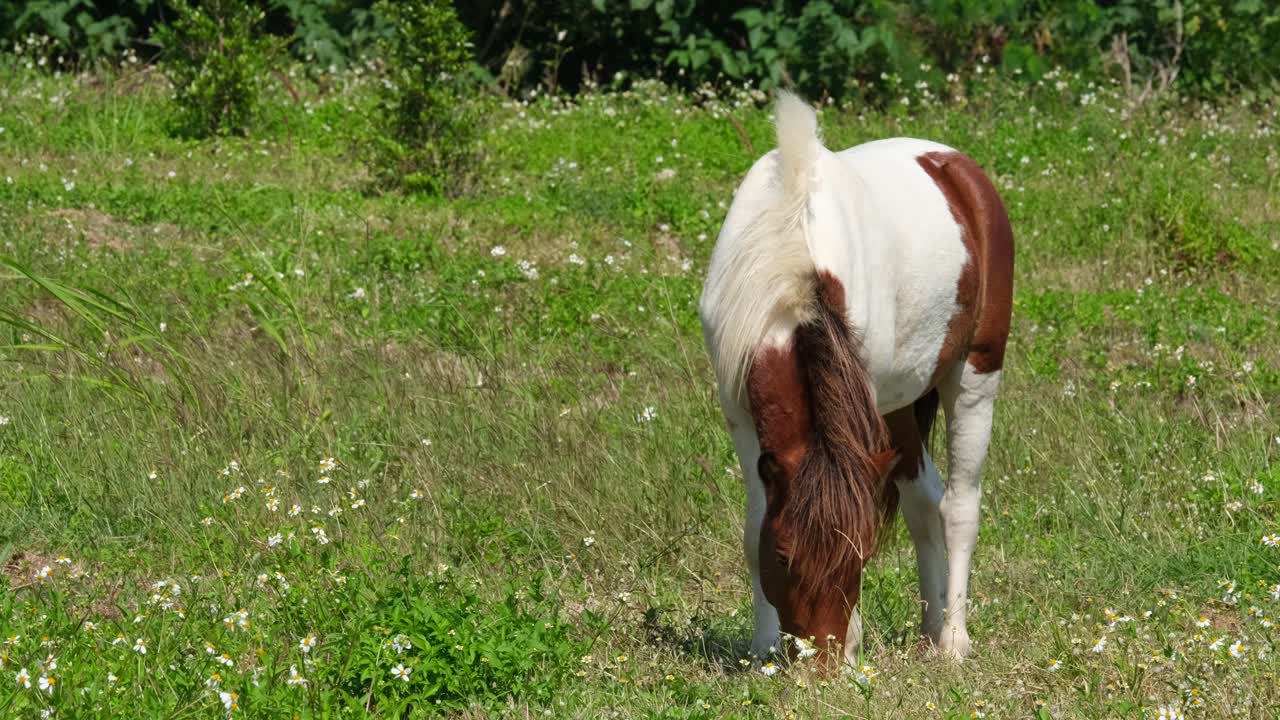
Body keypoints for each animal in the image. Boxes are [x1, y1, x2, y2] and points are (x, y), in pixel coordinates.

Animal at [699, 92, 1013, 664]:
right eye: (784, 555)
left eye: (862, 554)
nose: (822, 662)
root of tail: (959, 169)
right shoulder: (739, 415)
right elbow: (753, 527)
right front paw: (762, 648)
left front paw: (852, 643)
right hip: (900, 404)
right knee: (923, 501)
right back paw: (929, 629)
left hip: (976, 373)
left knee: (959, 507)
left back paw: (953, 639)